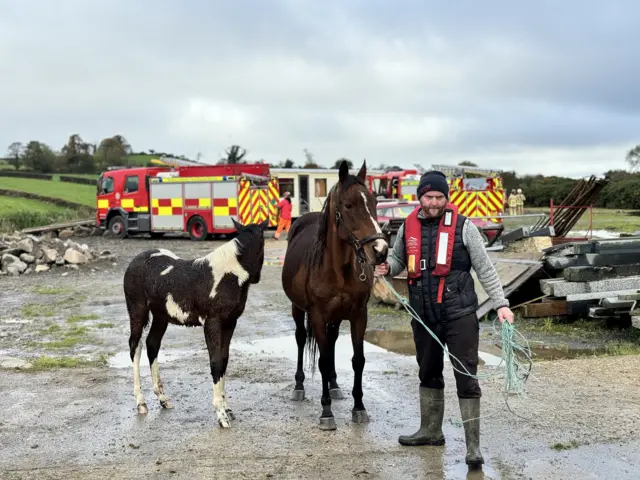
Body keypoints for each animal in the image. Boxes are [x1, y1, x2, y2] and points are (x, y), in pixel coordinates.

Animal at [124, 219, 266, 426]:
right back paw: (141, 402)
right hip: (137, 312)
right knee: (136, 347)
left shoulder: (230, 323)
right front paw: (221, 414)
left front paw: (227, 408)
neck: (228, 274)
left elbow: (224, 360)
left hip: (161, 316)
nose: (257, 278)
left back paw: (163, 398)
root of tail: (135, 261)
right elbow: (215, 362)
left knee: (152, 345)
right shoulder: (212, 323)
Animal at [282, 159, 390, 430]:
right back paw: (299, 386)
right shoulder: (318, 315)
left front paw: (359, 407)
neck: (338, 269)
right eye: (349, 205)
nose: (380, 250)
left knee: (330, 344)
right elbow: (320, 361)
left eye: (374, 203)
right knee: (301, 339)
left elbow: (357, 360)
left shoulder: (358, 315)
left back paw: (333, 384)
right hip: (298, 309)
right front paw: (326, 412)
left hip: (336, 317)